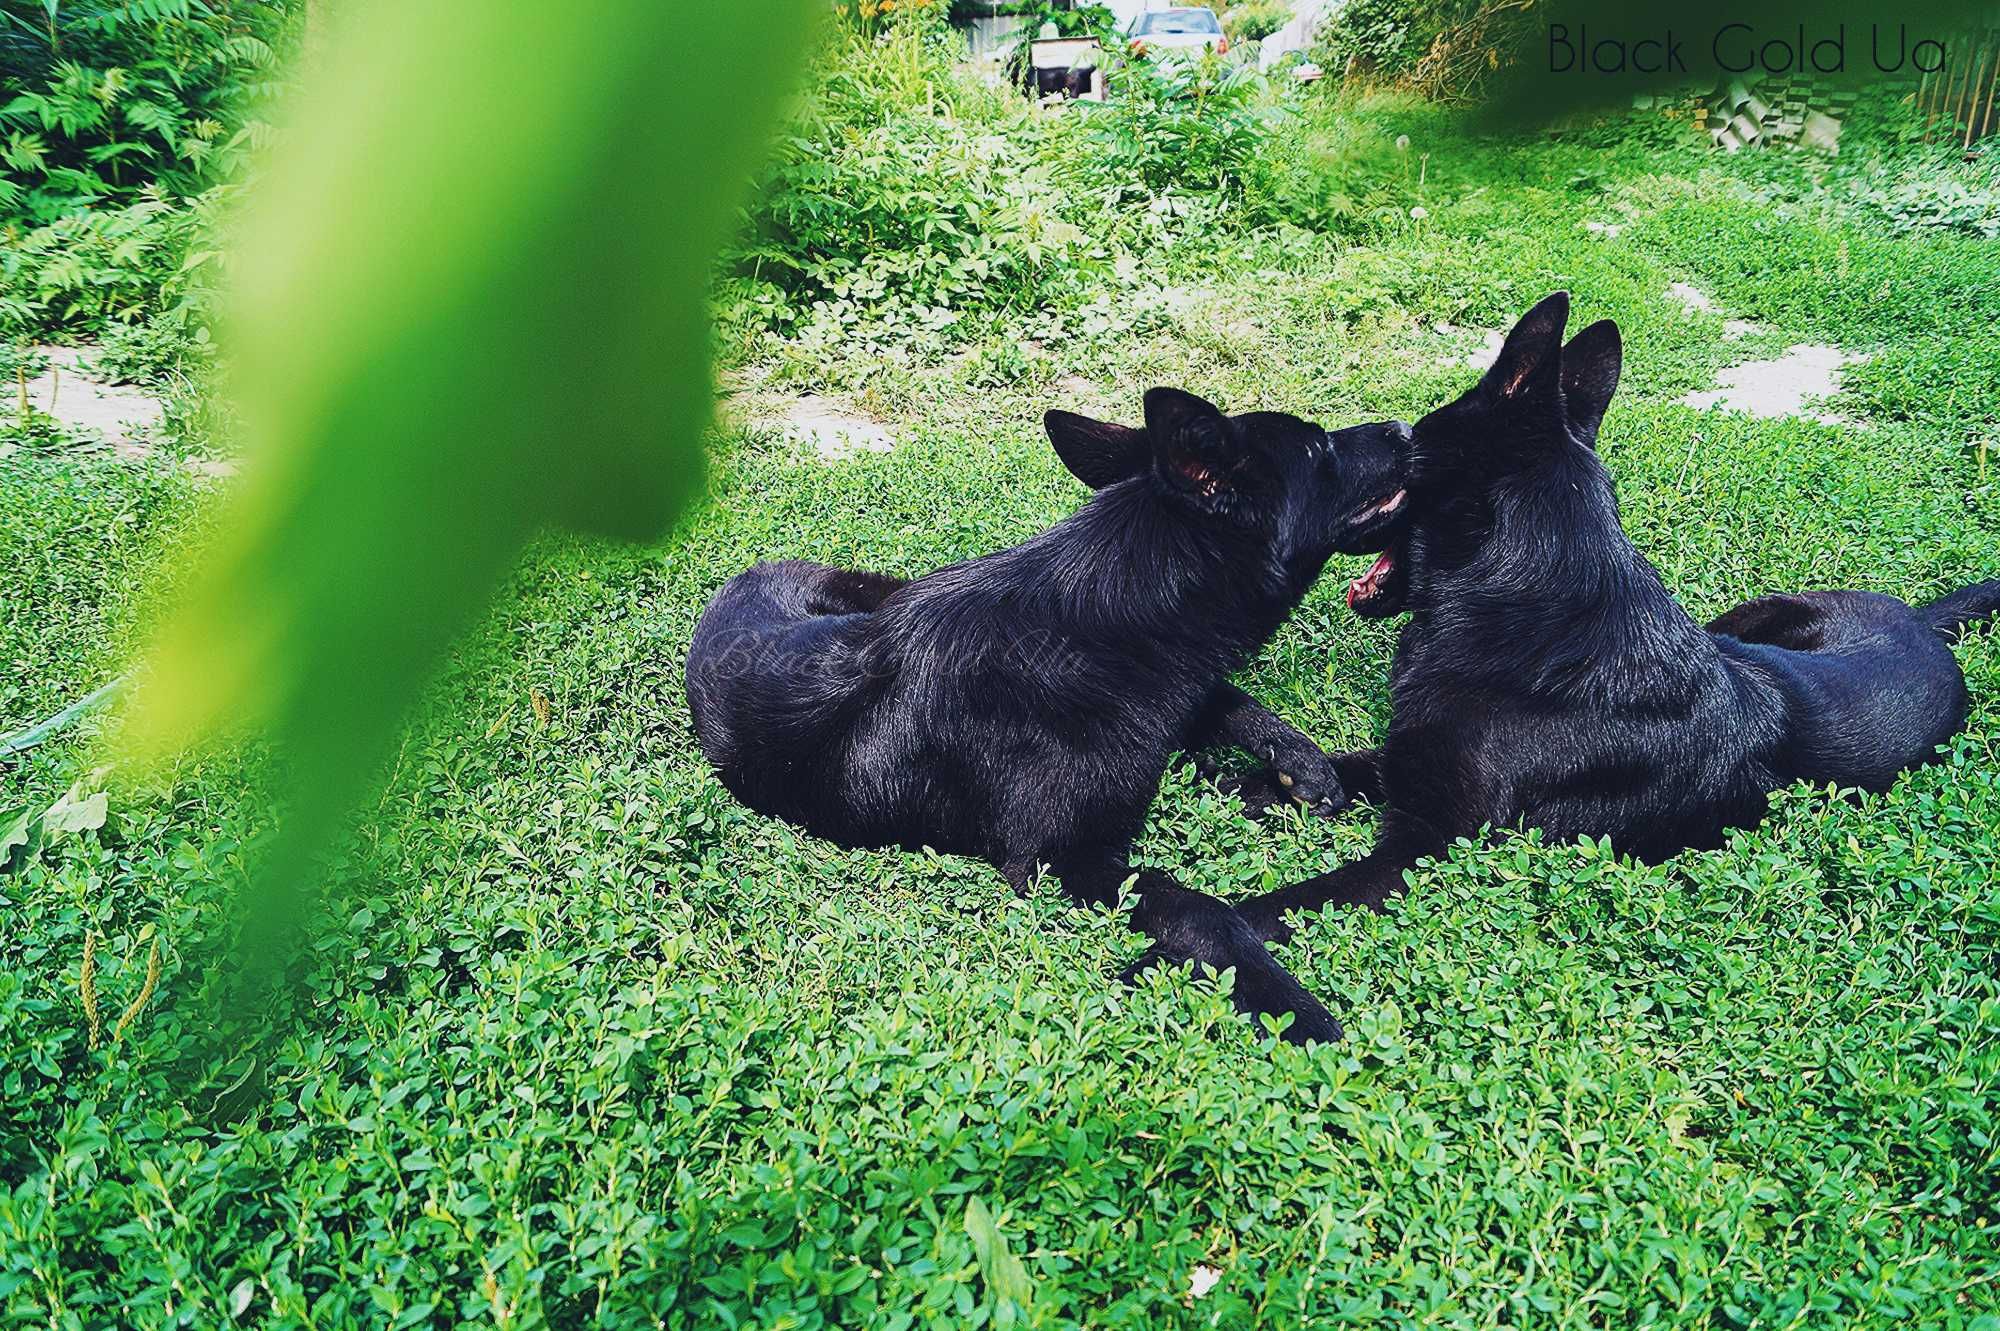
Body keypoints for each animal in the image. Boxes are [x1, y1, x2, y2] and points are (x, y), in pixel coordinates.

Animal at [688, 389, 1408, 1039]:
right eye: (1317, 449)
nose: (1404, 427)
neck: (1109, 622)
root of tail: (750, 573)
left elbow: (1219, 697)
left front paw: (1299, 760)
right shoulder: (1062, 861)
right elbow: (1203, 909)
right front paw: (1293, 1006)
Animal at [1224, 289, 1992, 975]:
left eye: (1412, 442)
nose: (1382, 437)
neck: (1524, 618)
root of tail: (1919, 622)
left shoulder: (1426, 846)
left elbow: (1282, 904)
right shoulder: (1406, 762)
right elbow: (1343, 763)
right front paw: (1269, 778)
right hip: (1743, 620)